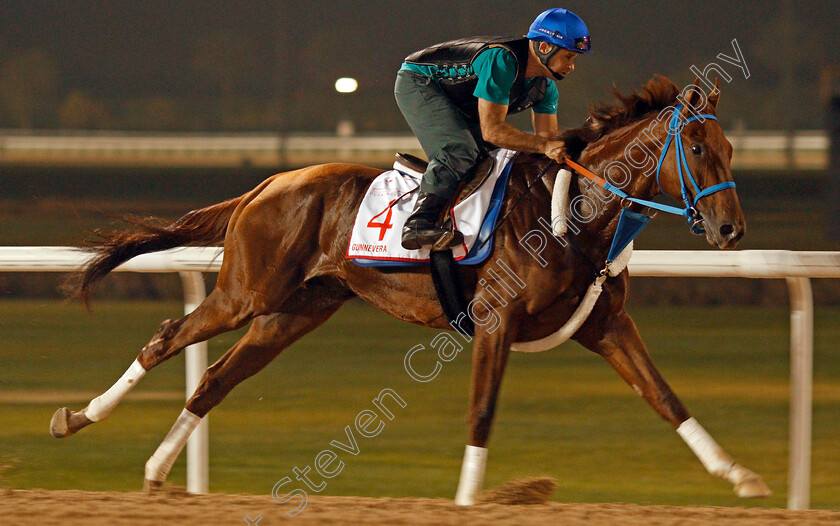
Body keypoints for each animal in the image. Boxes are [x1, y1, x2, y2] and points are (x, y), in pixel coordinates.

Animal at [49, 75, 768, 508]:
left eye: (732, 148)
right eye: (697, 148)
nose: (731, 228)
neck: (573, 212)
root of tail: (269, 182)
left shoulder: (607, 325)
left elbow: (666, 398)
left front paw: (740, 474)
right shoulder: (496, 319)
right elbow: (482, 410)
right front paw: (469, 499)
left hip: (295, 310)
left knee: (215, 379)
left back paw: (156, 470)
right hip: (248, 292)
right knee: (168, 337)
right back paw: (78, 418)